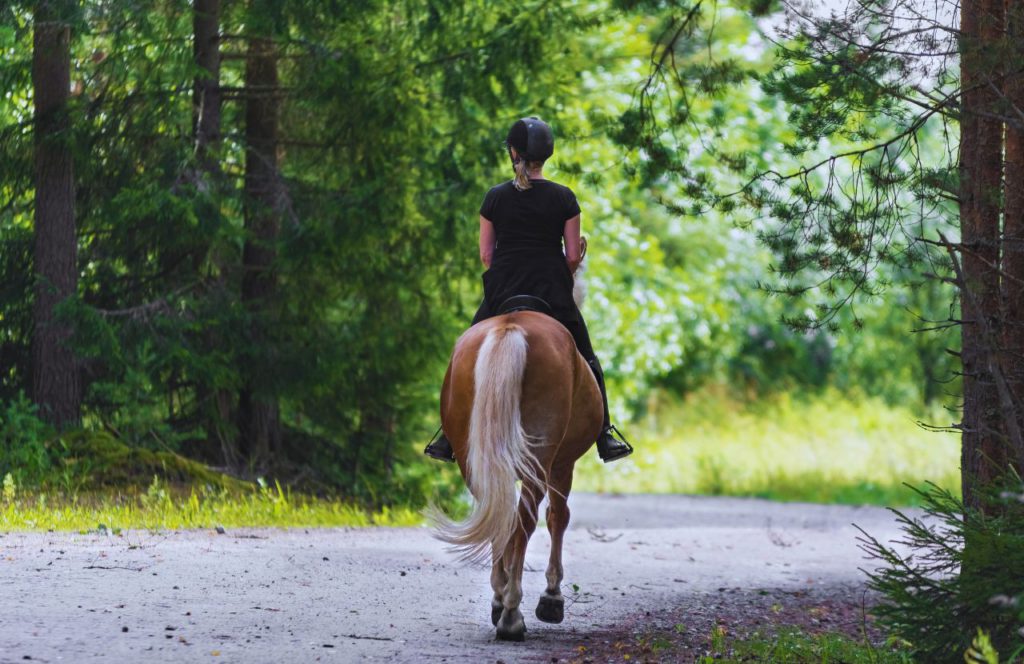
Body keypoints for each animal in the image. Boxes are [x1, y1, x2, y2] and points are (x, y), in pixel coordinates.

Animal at [430, 309, 602, 639]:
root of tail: (510, 328)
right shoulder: (562, 466)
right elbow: (557, 518)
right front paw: (552, 597)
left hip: (475, 460)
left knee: (500, 516)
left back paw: (500, 600)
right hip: (541, 459)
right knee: (524, 521)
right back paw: (511, 614)